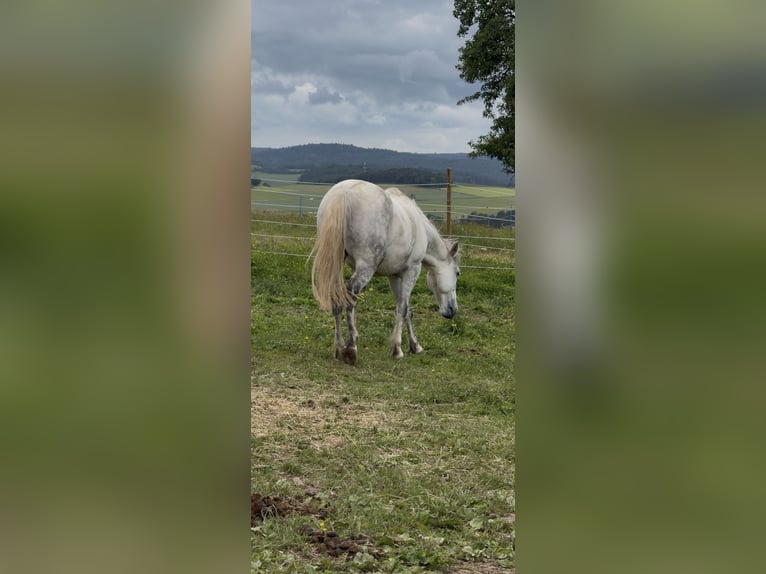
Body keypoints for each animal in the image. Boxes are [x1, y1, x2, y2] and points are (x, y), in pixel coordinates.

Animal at [310, 179, 460, 365]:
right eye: (457, 273)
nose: (453, 310)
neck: (420, 227)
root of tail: (343, 193)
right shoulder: (412, 271)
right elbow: (403, 308)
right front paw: (397, 349)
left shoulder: (394, 276)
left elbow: (406, 309)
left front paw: (415, 346)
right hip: (366, 267)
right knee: (350, 294)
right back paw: (351, 348)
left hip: (336, 264)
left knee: (337, 296)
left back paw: (339, 348)